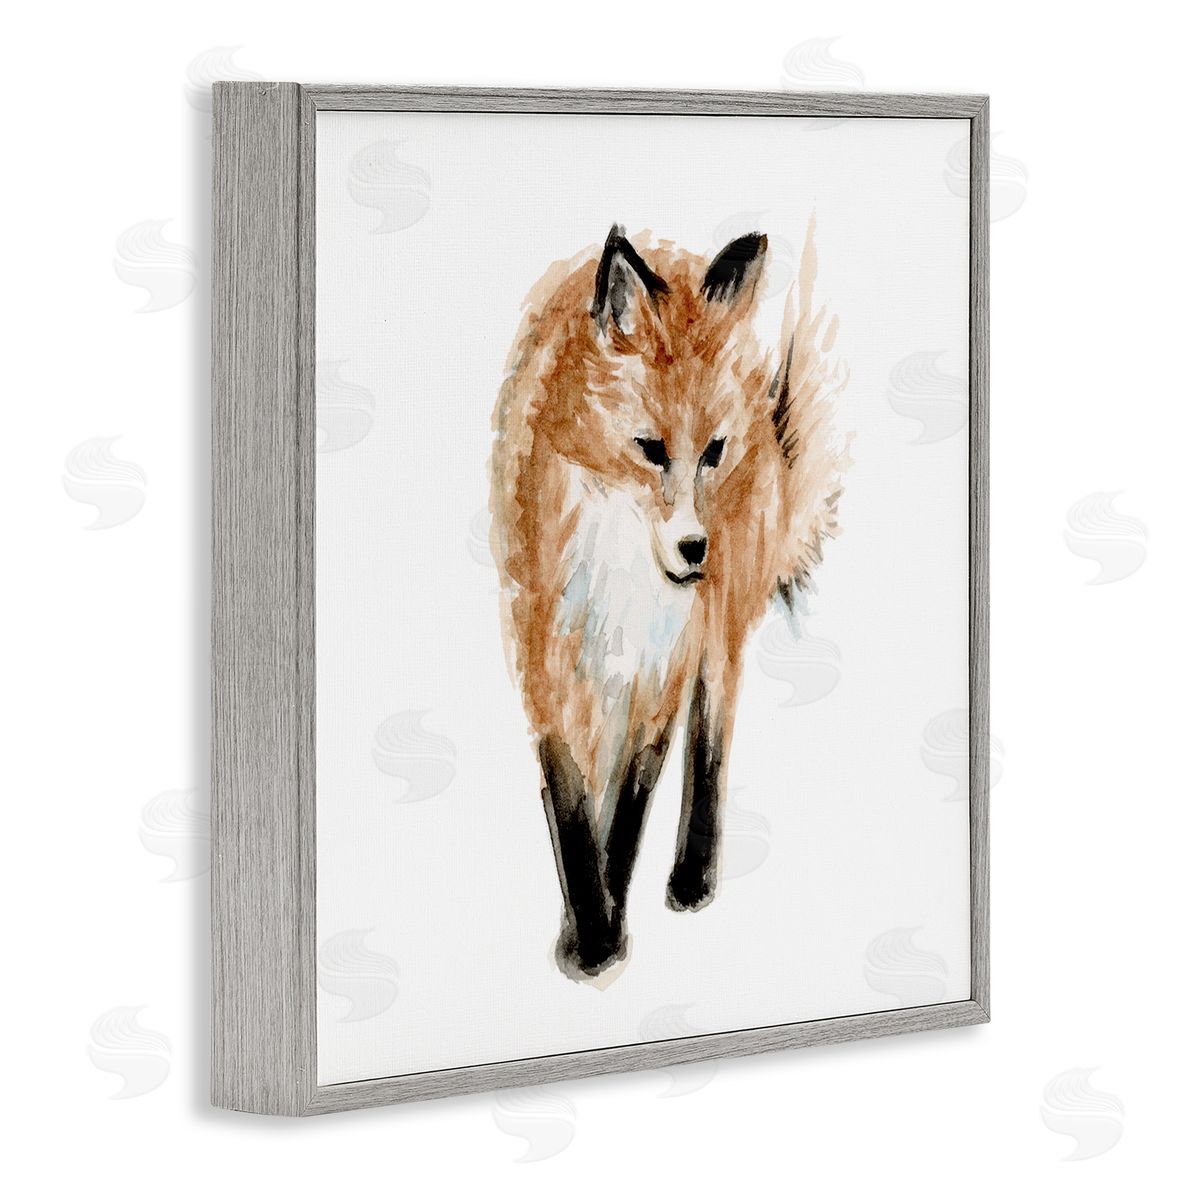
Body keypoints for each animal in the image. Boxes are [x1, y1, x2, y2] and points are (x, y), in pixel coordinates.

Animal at [490, 221, 846, 979]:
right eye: (650, 449)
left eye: (711, 451)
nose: (693, 550)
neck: (621, 564)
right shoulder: (541, 651)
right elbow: (572, 802)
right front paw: (589, 928)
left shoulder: (664, 665)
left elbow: (631, 803)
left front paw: (605, 931)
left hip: (718, 628)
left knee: (712, 734)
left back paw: (693, 874)